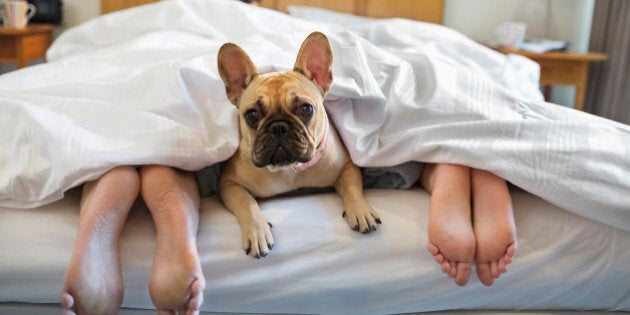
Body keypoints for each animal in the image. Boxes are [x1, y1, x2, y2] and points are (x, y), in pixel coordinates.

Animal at [218, 32, 380, 260]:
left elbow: (352, 187)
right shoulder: (229, 183)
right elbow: (246, 202)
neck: (290, 171)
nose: (278, 127)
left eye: (306, 109)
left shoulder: (347, 167)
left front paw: (361, 210)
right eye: (252, 115)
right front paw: (257, 231)